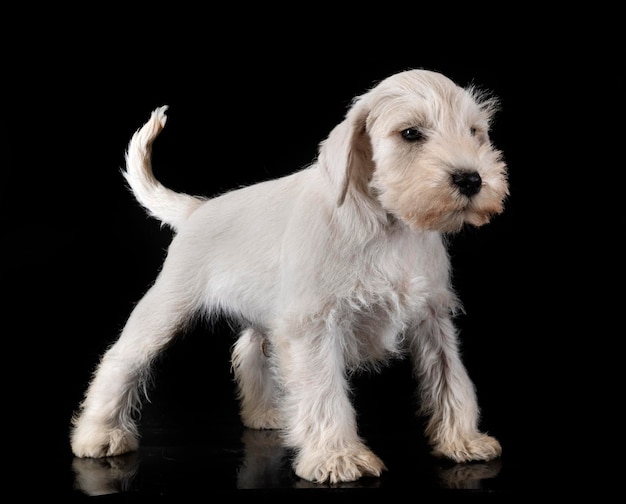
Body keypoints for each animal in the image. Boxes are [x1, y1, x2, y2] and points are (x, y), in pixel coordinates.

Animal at [69, 69, 508, 486]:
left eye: (474, 132)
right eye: (411, 133)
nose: (471, 179)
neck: (386, 225)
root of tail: (198, 209)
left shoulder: (432, 318)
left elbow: (452, 380)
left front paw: (463, 441)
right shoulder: (312, 325)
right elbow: (324, 391)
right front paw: (337, 457)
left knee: (248, 351)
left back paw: (264, 413)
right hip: (166, 306)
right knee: (122, 358)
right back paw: (98, 434)